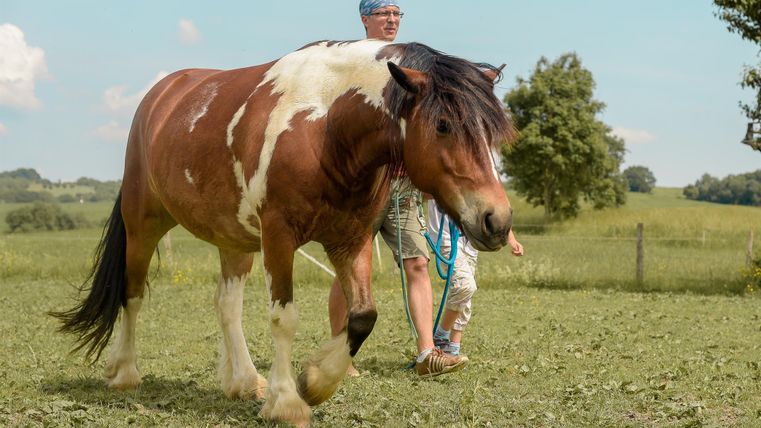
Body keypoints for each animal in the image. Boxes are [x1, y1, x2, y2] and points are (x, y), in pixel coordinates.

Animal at [51, 40, 515, 427]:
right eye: (443, 125)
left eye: (493, 131)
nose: (497, 220)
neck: (325, 127)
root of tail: (160, 96)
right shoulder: (278, 237)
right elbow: (284, 318)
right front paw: (287, 401)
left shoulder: (351, 240)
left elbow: (363, 316)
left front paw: (316, 381)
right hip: (143, 223)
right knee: (132, 295)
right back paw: (125, 372)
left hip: (233, 238)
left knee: (227, 305)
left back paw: (243, 381)